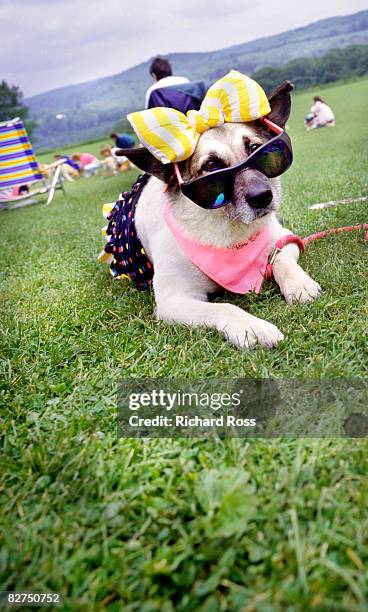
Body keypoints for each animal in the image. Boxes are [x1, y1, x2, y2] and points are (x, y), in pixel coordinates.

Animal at [113, 81, 320, 350]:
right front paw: (252, 327)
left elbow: (280, 258)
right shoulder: (173, 299)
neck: (228, 230)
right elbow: (224, 307)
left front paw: (299, 284)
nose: (263, 197)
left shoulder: (284, 237)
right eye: (211, 166)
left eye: (256, 149)